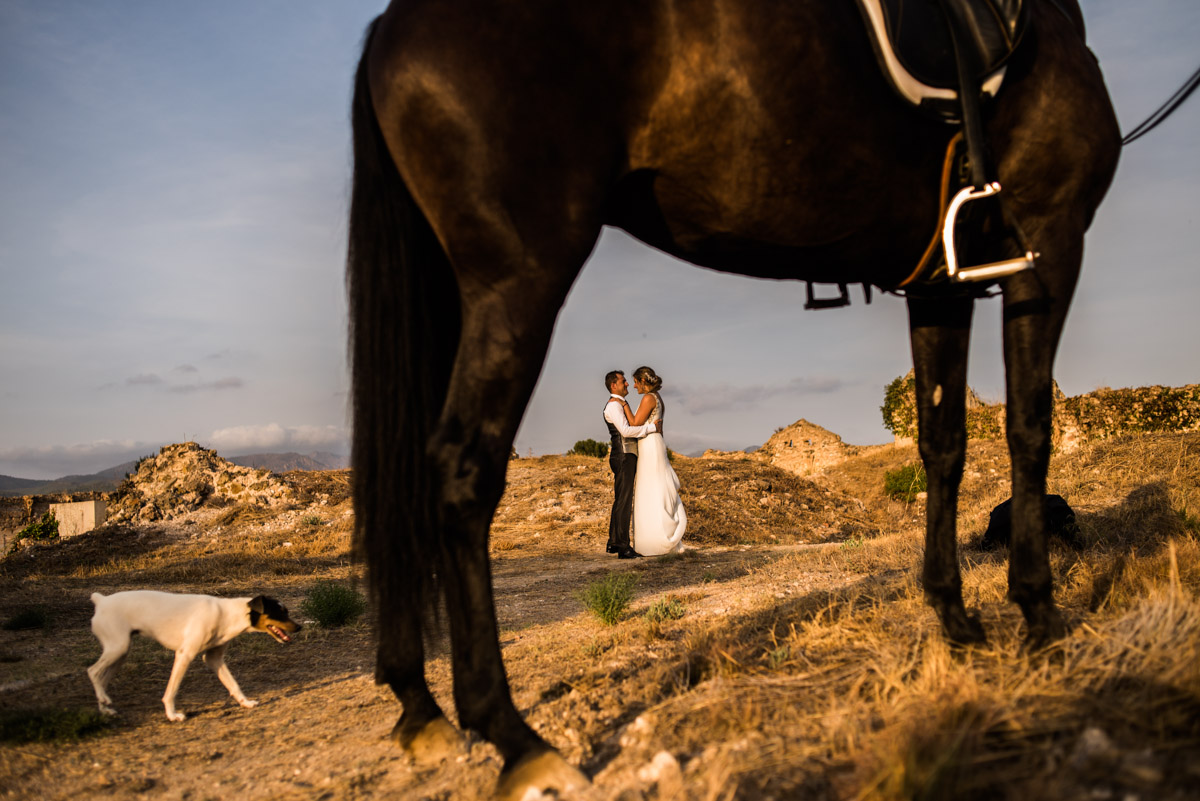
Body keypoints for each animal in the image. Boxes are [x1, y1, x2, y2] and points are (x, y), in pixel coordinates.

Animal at [346, 1, 1120, 796]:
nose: (630, 387)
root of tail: (390, 27)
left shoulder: (941, 278)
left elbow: (945, 442)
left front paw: (958, 620)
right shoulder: (1048, 236)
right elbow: (1030, 427)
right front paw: (1039, 613)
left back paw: (418, 705)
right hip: (518, 274)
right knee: (460, 470)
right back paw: (513, 734)